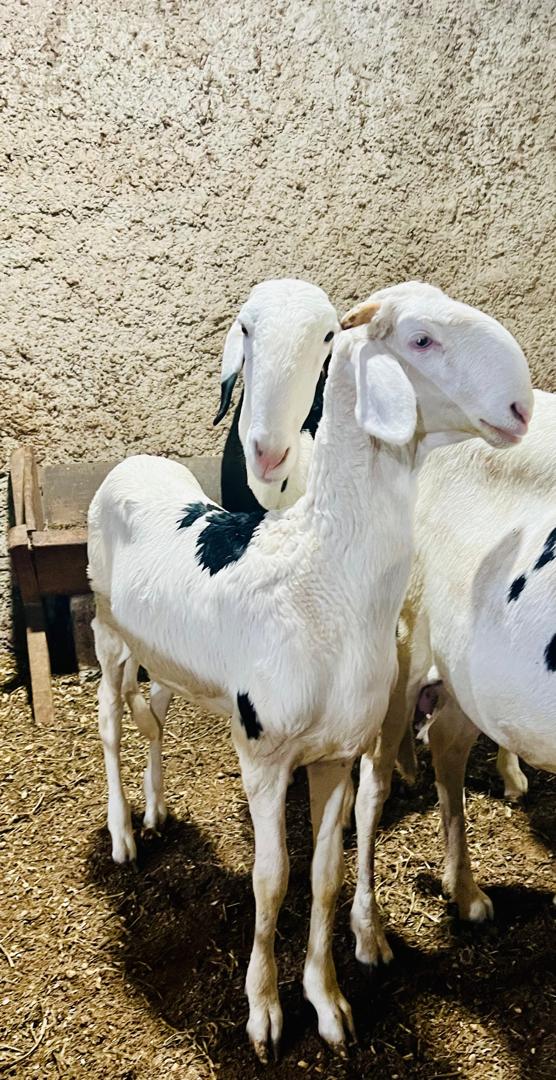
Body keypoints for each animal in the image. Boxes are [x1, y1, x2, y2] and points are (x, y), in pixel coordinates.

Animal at [87, 281, 532, 1059]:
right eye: (420, 339)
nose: (523, 408)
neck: (321, 571)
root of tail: (131, 463)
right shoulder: (263, 753)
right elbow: (272, 880)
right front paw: (264, 1014)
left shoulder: (335, 753)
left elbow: (324, 877)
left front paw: (328, 1006)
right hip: (109, 634)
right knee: (112, 723)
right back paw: (121, 836)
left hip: (170, 658)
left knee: (154, 715)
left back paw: (157, 809)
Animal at [351, 388, 553, 968]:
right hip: (399, 645)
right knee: (372, 784)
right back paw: (369, 934)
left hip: (470, 674)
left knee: (447, 743)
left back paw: (464, 891)